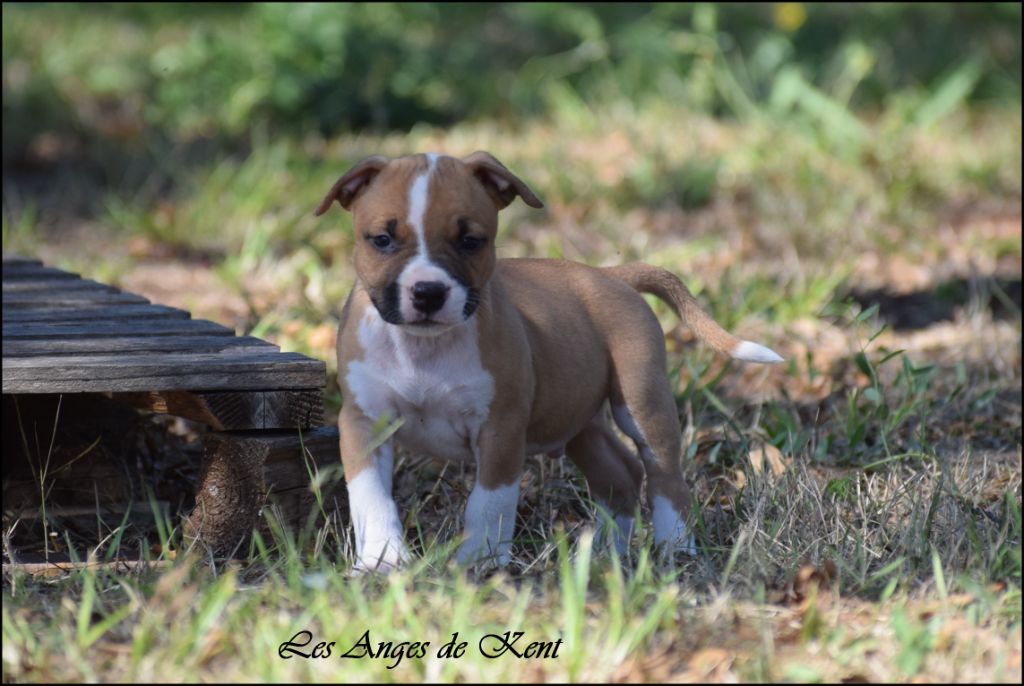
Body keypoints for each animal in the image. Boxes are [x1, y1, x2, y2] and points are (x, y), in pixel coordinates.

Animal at [315, 151, 778, 573]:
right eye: (382, 240)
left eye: (470, 241)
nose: (428, 292)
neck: (423, 348)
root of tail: (613, 276)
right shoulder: (363, 423)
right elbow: (371, 496)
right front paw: (381, 560)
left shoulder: (501, 429)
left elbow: (488, 502)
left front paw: (480, 561)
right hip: (580, 425)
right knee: (620, 474)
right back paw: (605, 554)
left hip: (641, 404)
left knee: (664, 475)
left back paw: (675, 547)